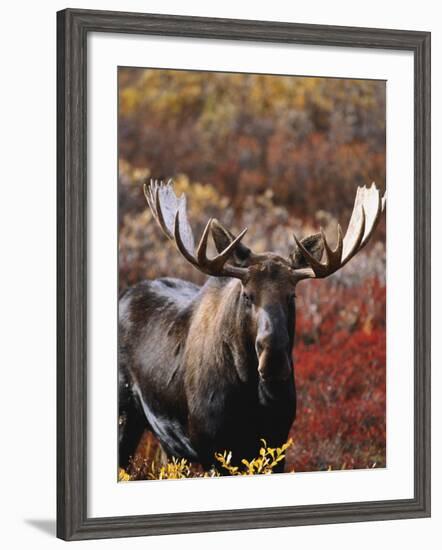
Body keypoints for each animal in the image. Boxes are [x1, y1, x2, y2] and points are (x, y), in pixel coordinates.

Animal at [119, 181, 386, 474]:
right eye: (247, 295)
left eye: (292, 295)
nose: (274, 360)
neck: (250, 395)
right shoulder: (211, 448)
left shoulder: (277, 443)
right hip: (126, 416)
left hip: (169, 445)